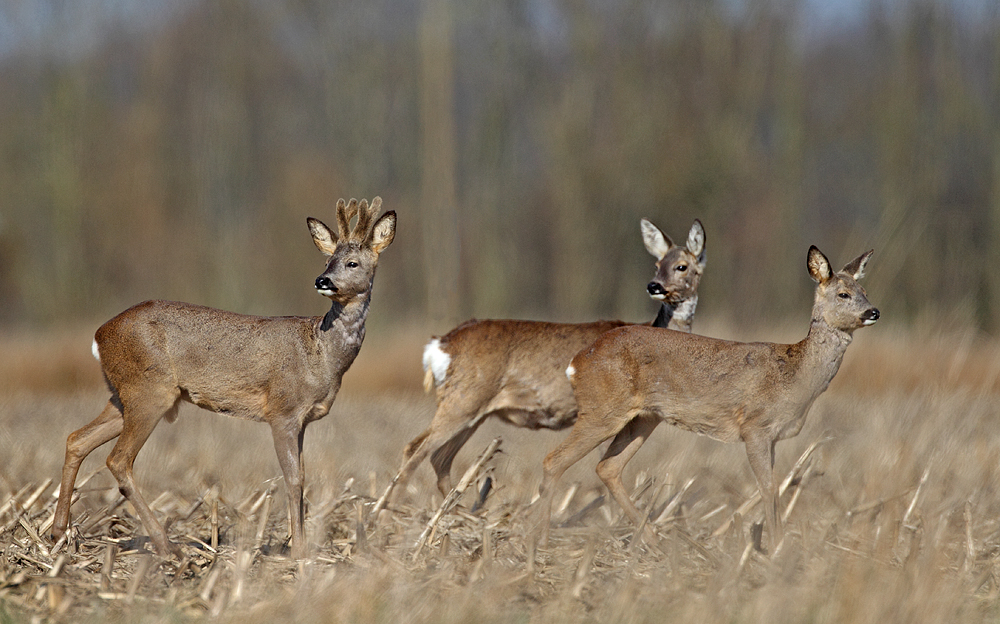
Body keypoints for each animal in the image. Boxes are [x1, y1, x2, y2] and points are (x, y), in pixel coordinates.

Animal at [51, 197, 394, 560]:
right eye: (328, 260)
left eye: (352, 262)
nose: (322, 280)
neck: (321, 352)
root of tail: (99, 336)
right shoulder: (283, 411)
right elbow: (294, 480)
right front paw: (299, 551)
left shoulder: (302, 420)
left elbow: (302, 478)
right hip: (150, 391)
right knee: (118, 459)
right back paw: (166, 544)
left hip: (123, 394)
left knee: (77, 439)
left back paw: (59, 533)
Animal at [372, 217, 708, 520]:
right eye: (657, 264)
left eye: (682, 266)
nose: (655, 286)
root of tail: (439, 345)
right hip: (463, 400)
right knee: (415, 449)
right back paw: (390, 521)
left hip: (472, 409)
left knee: (439, 458)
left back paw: (462, 518)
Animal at [536, 244, 880, 552]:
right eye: (843, 294)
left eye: (864, 289)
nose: (873, 311)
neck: (794, 374)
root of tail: (577, 362)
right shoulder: (754, 427)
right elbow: (768, 487)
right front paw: (777, 549)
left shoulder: (771, 437)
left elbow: (773, 485)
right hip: (602, 409)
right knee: (554, 460)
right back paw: (539, 542)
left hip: (643, 417)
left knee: (607, 467)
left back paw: (653, 541)